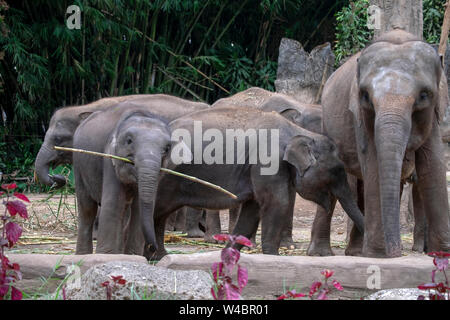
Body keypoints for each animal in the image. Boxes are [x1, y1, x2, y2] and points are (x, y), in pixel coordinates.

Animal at [73, 98, 208, 255]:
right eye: (129, 141)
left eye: (167, 148)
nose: (152, 247)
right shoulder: (109, 158)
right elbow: (113, 203)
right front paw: (105, 255)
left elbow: (140, 208)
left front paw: (132, 255)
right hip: (78, 166)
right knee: (87, 209)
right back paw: (83, 255)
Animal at [314, 30, 450, 258]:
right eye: (365, 96)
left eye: (424, 95)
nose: (396, 250)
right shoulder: (359, 115)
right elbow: (374, 164)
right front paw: (380, 254)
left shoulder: (433, 115)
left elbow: (433, 165)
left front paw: (442, 253)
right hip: (327, 125)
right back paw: (323, 254)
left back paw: (356, 251)